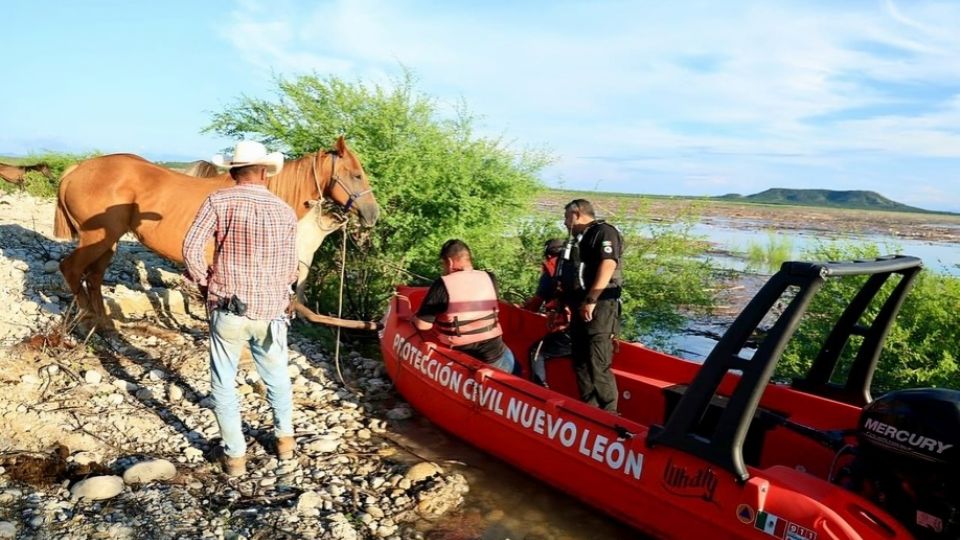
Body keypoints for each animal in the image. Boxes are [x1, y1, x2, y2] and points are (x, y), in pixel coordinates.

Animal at [53, 137, 378, 326]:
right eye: (356, 174)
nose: (372, 214)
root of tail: (76, 169)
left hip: (107, 242)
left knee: (94, 278)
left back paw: (104, 325)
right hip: (97, 240)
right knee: (72, 270)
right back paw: (87, 321)